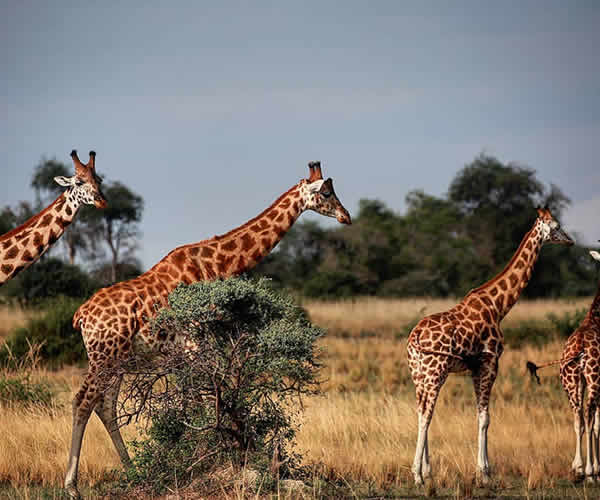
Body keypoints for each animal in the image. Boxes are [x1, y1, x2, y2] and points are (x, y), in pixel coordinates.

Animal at [63, 162, 352, 498]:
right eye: (327, 192)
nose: (346, 216)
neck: (216, 264)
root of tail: (81, 316)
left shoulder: (187, 348)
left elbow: (195, 400)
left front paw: (197, 458)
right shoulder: (194, 341)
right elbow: (204, 398)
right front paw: (206, 459)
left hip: (118, 360)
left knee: (106, 406)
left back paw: (133, 472)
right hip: (103, 356)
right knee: (82, 402)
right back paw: (72, 486)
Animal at [408, 206, 572, 484]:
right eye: (557, 226)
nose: (570, 240)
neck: (499, 307)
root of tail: (414, 339)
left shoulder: (475, 367)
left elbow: (480, 415)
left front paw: (483, 469)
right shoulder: (489, 363)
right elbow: (485, 418)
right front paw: (484, 472)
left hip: (418, 373)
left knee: (421, 410)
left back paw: (426, 471)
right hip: (434, 371)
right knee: (426, 414)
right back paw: (417, 475)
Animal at [528, 248, 600, 482]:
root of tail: (580, 349)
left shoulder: (581, 382)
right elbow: (598, 423)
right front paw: (596, 469)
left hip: (569, 383)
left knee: (578, 418)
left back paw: (578, 468)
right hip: (592, 381)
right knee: (587, 417)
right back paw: (589, 471)